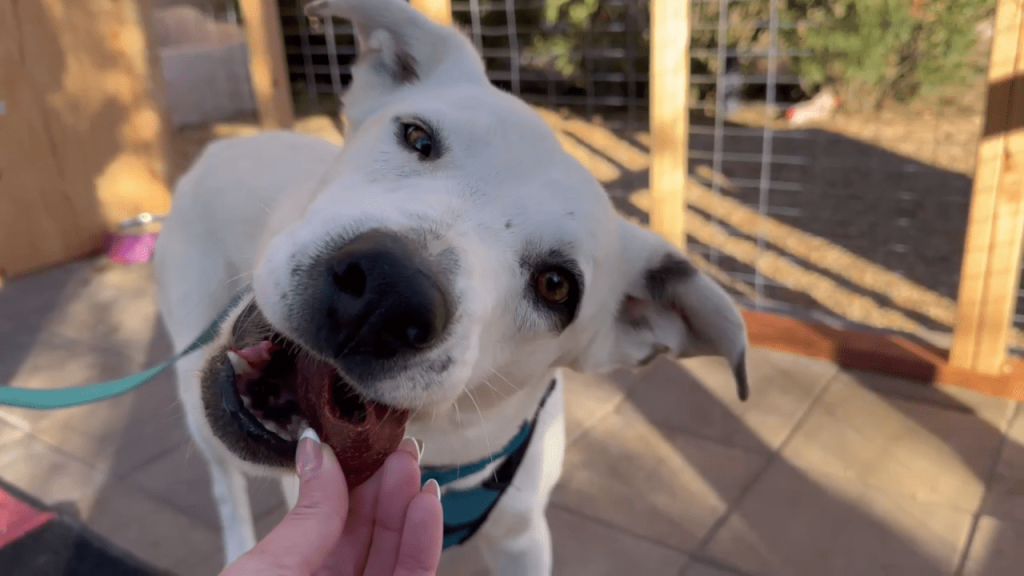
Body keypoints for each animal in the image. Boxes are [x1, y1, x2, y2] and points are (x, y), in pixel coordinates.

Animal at [151, 1, 749, 569]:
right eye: (417, 136)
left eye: (557, 286)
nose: (386, 294)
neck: (433, 457)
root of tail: (231, 142)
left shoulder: (523, 541)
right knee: (224, 485)